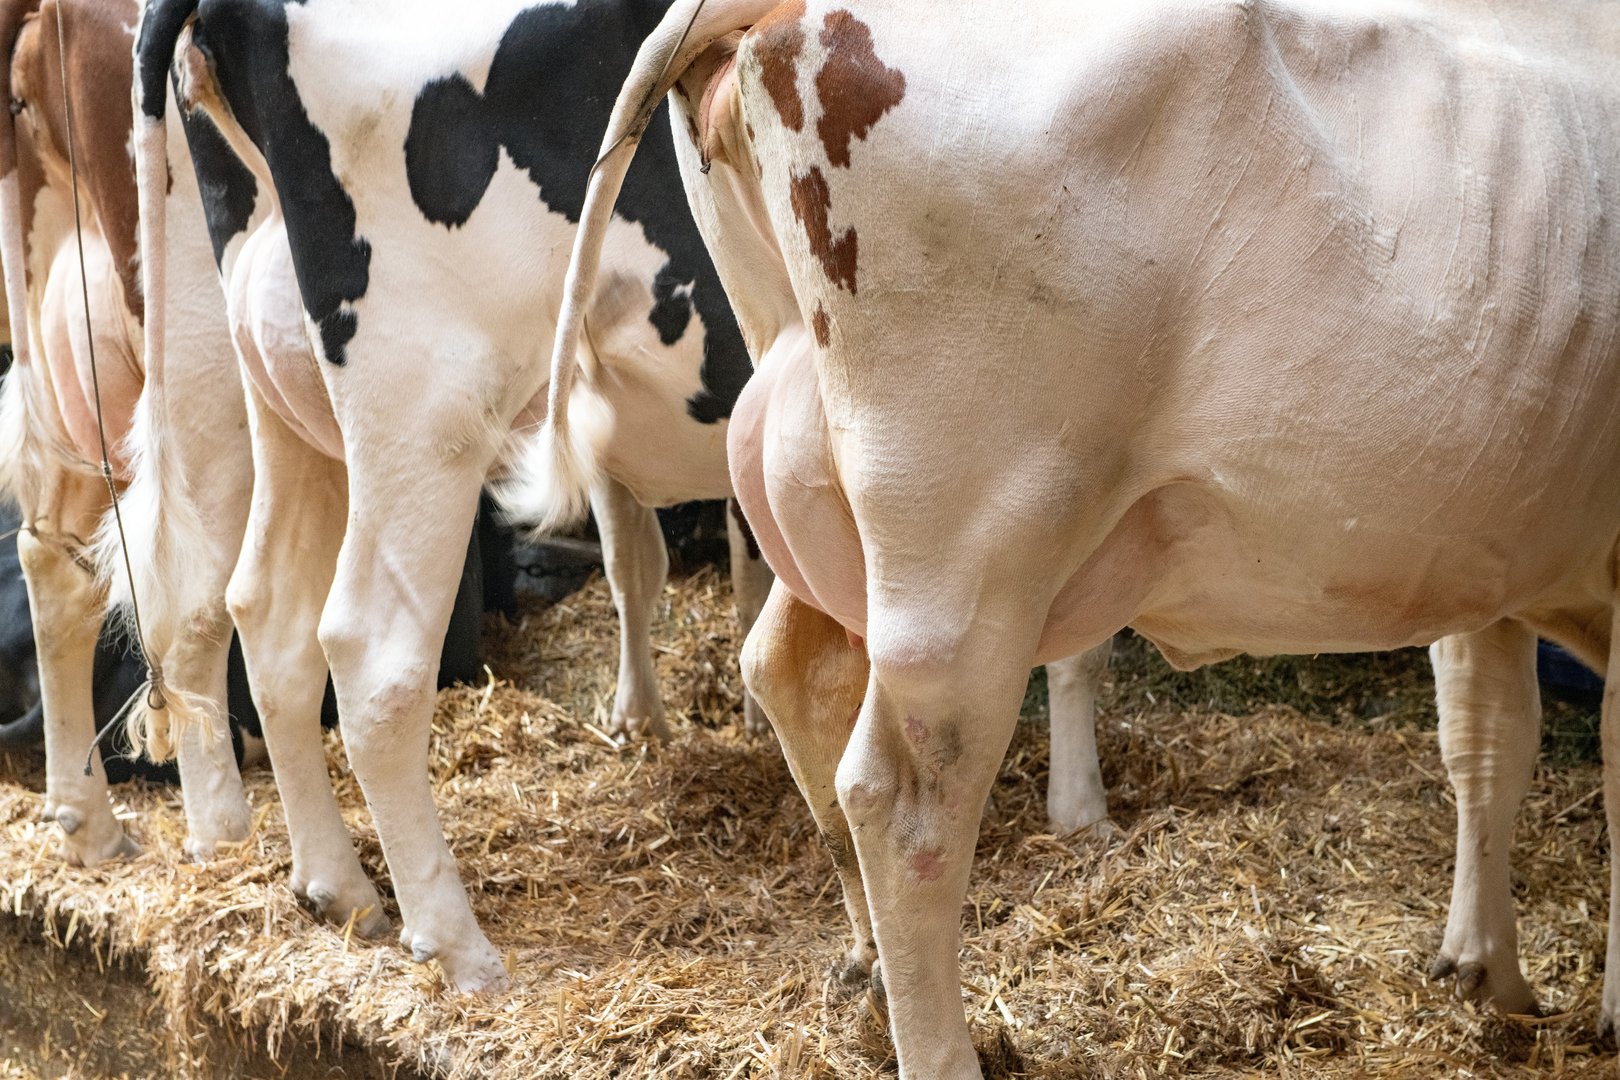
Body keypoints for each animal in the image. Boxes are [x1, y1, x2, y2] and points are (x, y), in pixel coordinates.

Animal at [0, 0, 262, 864]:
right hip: (209, 356)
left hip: (77, 350)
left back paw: (88, 823)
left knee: (53, 557)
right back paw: (232, 844)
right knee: (196, 614)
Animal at [543, 0, 1620, 1074]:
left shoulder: (1485, 561)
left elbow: (1486, 739)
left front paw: (1489, 973)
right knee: (902, 804)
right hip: (972, 556)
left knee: (789, 671)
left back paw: (872, 975)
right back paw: (941, 1046)